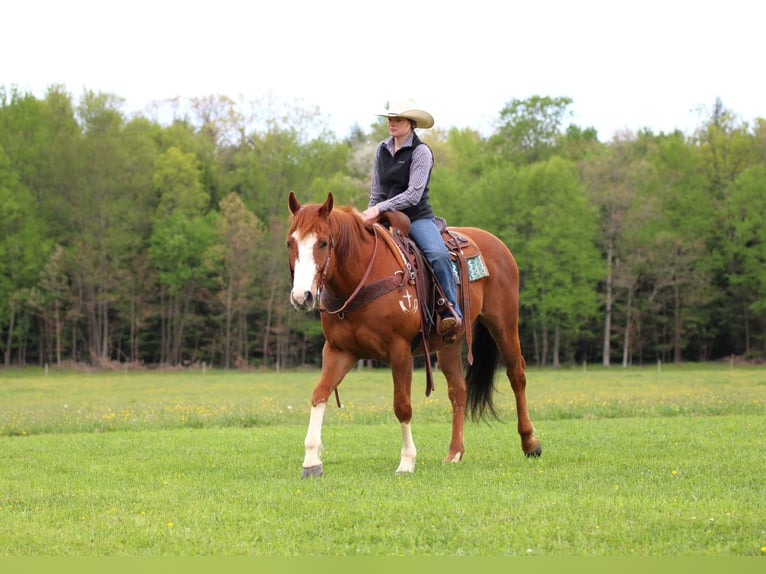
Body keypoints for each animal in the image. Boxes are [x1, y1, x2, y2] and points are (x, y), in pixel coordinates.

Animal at [286, 191, 541, 477]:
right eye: (290, 243)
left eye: (323, 242)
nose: (302, 296)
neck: (360, 278)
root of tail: (496, 243)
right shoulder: (338, 351)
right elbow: (319, 395)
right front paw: (311, 461)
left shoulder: (399, 350)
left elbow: (402, 406)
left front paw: (407, 461)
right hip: (450, 343)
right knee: (458, 390)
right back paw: (454, 452)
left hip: (503, 323)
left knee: (516, 375)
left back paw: (530, 442)